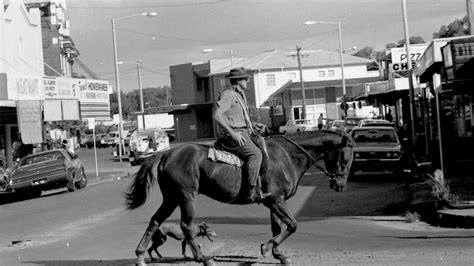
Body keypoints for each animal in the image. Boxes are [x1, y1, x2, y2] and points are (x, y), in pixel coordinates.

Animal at [124, 130, 354, 264]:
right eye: (345, 158)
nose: (340, 185)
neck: (286, 156)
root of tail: (165, 154)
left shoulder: (274, 202)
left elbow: (278, 227)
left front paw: (278, 253)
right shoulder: (276, 200)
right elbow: (292, 225)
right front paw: (267, 247)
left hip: (171, 199)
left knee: (155, 221)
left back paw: (140, 256)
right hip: (186, 197)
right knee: (186, 227)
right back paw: (203, 258)